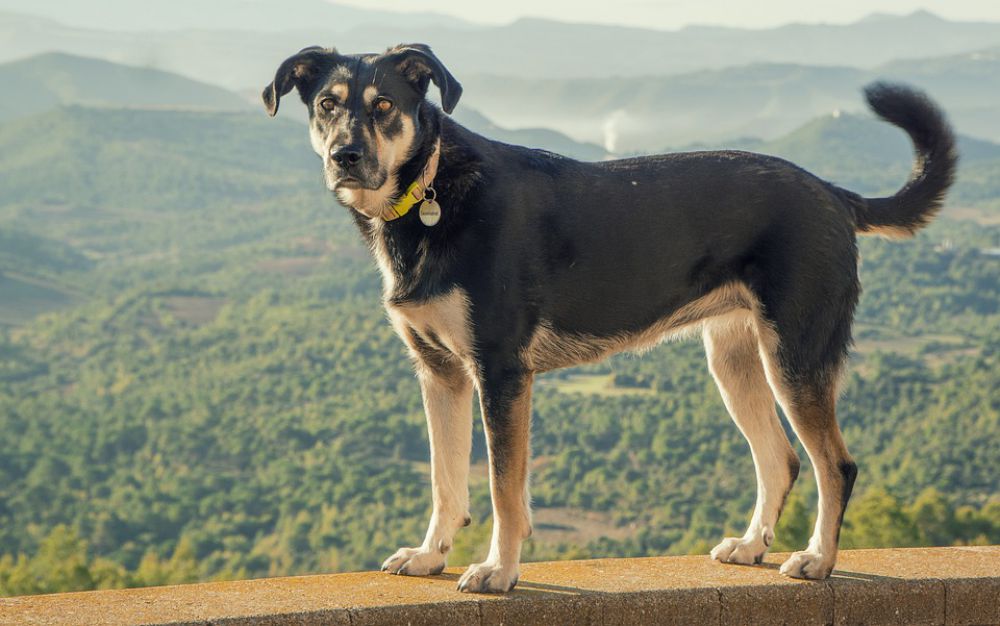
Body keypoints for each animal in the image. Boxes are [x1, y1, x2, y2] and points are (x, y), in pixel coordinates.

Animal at [262, 42, 956, 588]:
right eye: (328, 104)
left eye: (383, 106)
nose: (345, 156)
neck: (429, 194)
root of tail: (833, 195)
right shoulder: (441, 373)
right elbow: (445, 479)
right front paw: (432, 556)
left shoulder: (501, 373)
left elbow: (504, 489)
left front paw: (499, 570)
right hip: (734, 357)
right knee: (780, 458)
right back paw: (753, 545)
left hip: (795, 354)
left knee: (834, 464)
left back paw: (817, 560)